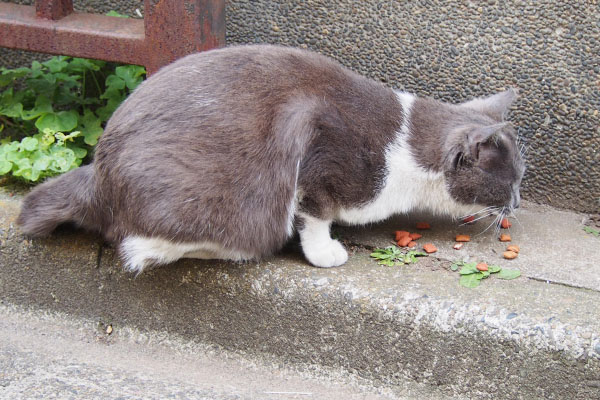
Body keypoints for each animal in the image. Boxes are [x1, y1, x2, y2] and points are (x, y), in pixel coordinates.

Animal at [17, 45, 524, 274]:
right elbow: (316, 213)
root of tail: (96, 174)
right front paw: (324, 252)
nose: (518, 203)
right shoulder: (319, 148)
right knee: (142, 246)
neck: (404, 146)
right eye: (511, 180)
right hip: (225, 204)